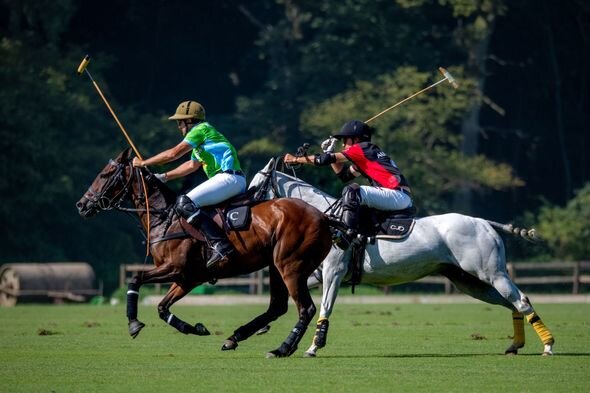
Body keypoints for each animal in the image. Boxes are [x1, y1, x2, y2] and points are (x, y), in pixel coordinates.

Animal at [75, 149, 332, 356]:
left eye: (106, 174)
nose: (81, 205)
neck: (165, 217)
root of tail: (323, 217)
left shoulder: (174, 268)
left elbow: (135, 278)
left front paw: (134, 324)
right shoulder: (188, 278)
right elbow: (162, 307)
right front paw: (195, 328)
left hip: (290, 265)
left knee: (306, 308)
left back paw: (283, 348)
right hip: (276, 266)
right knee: (278, 307)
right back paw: (234, 339)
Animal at [250, 156, 556, 356]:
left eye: (254, 187)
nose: (247, 213)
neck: (328, 220)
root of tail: (484, 222)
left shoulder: (333, 272)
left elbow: (324, 308)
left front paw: (313, 346)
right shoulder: (317, 273)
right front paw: (262, 328)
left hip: (491, 273)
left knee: (522, 300)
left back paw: (548, 345)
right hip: (468, 281)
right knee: (510, 303)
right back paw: (515, 345)